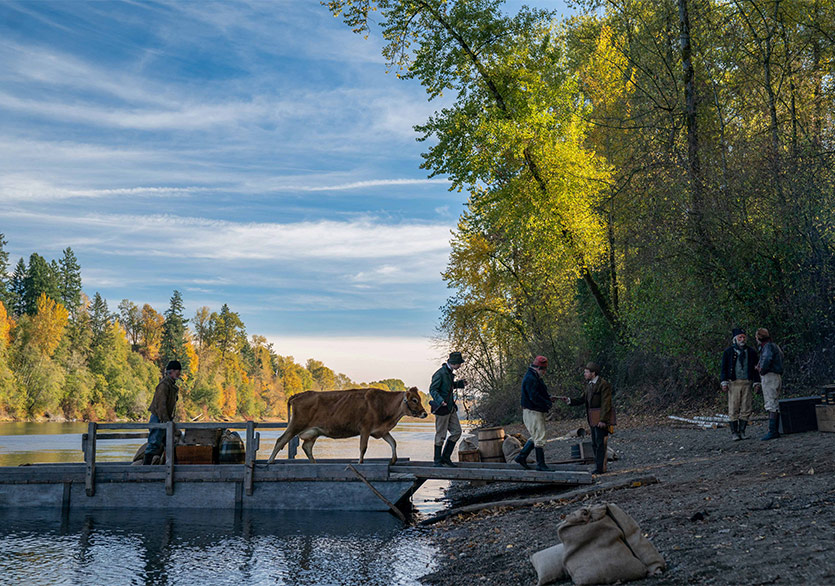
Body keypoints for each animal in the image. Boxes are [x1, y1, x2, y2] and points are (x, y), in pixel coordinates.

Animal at [268, 386, 428, 464]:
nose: (425, 413)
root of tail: (298, 395)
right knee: (281, 440)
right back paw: (270, 461)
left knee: (306, 447)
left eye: (419, 399)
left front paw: (394, 460)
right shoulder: (365, 428)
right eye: (414, 400)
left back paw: (314, 463)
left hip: (313, 432)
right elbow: (363, 447)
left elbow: (393, 443)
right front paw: (359, 462)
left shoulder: (381, 430)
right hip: (296, 424)